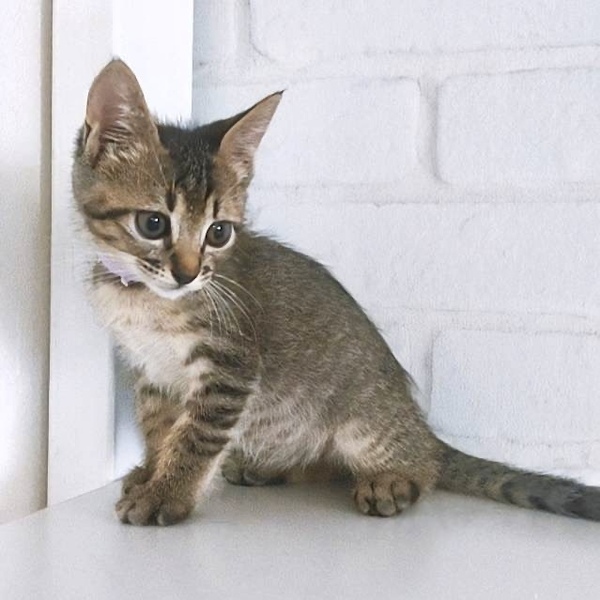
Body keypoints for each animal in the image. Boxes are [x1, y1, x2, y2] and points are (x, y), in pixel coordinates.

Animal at [72, 59, 600, 526]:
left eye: (218, 233)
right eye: (153, 223)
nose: (187, 274)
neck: (142, 300)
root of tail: (420, 425)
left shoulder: (231, 366)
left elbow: (195, 438)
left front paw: (167, 494)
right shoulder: (152, 372)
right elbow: (159, 429)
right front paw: (149, 473)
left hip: (364, 423)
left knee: (423, 465)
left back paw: (391, 480)